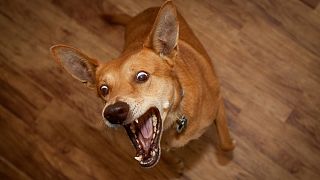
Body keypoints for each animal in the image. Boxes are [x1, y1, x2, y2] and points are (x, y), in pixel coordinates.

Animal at [50, 0, 235, 169]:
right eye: (103, 89)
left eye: (142, 76)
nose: (113, 112)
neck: (174, 121)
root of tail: (138, 15)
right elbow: (165, 153)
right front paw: (175, 164)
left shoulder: (218, 101)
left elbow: (225, 144)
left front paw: (231, 144)